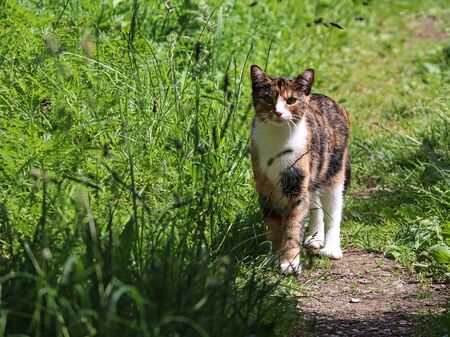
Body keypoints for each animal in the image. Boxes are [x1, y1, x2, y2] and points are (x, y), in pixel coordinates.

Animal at [250, 65, 352, 272]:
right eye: (268, 99)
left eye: (291, 100)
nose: (278, 112)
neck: (278, 139)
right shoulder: (264, 187)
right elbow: (272, 225)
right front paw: (272, 257)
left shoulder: (296, 184)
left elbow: (293, 224)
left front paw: (290, 262)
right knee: (315, 204)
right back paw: (315, 238)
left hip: (334, 171)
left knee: (333, 210)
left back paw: (331, 247)